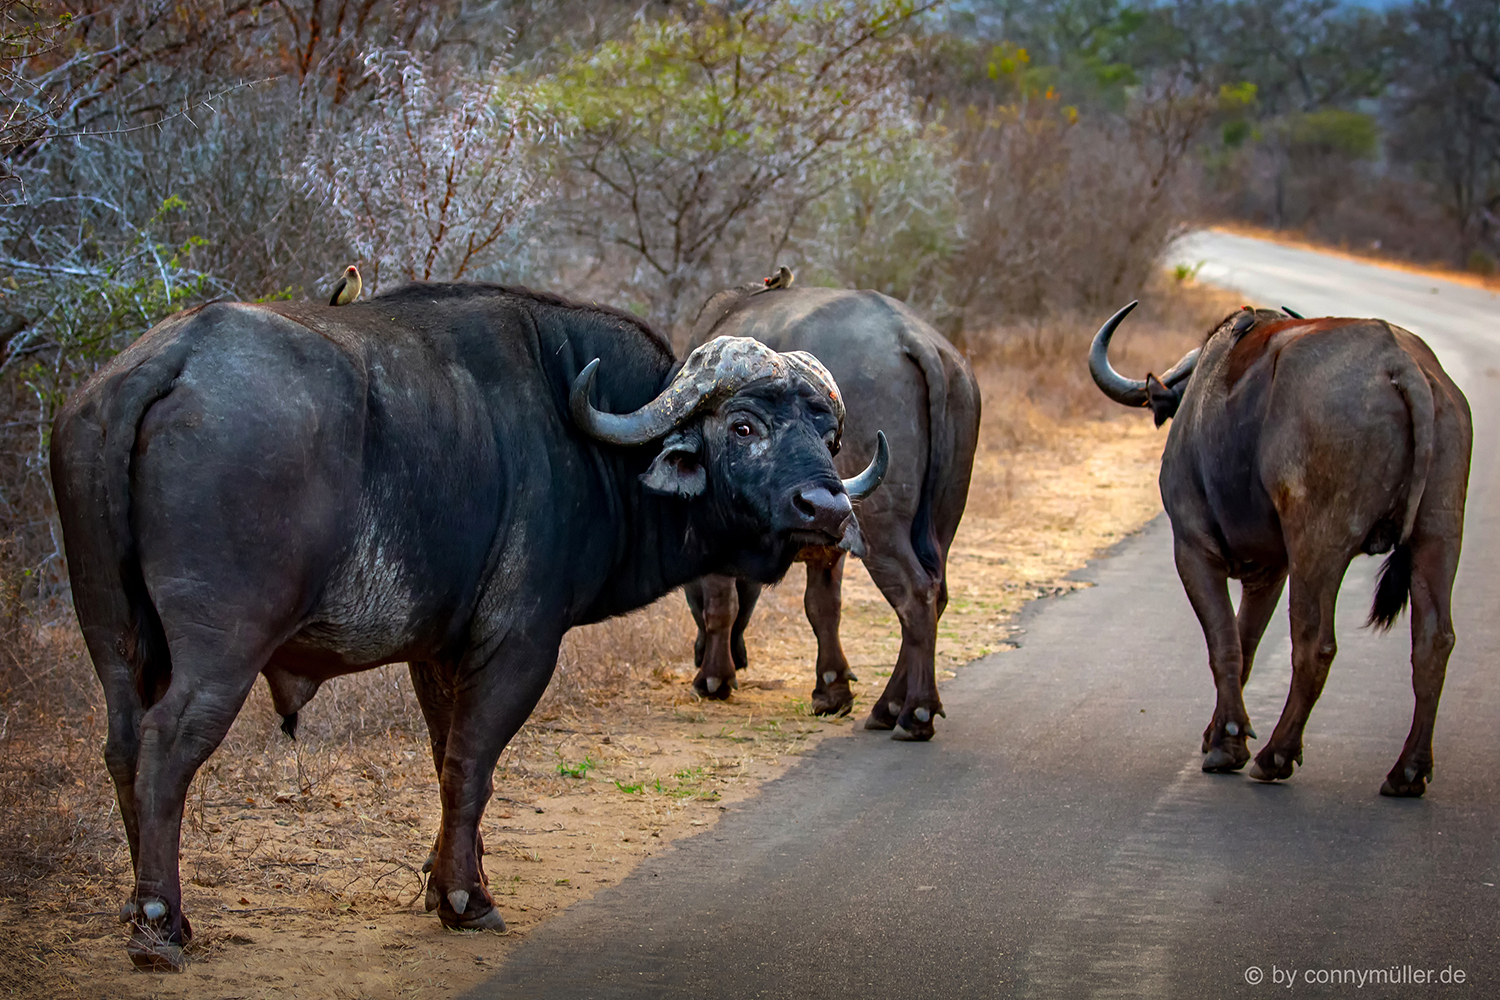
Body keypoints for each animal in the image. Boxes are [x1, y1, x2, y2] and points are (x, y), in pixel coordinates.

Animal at [52, 283, 882, 971]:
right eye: (743, 424)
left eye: (827, 434)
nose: (828, 509)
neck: (575, 433)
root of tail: (163, 363)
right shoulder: (519, 645)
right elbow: (472, 764)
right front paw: (464, 898)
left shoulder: (437, 652)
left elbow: (445, 756)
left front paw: (445, 879)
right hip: (219, 650)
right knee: (168, 746)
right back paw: (158, 923)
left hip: (116, 640)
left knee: (123, 747)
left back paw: (150, 907)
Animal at [684, 284, 984, 740]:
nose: (703, 654)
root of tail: (915, 338)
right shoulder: (827, 534)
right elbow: (822, 606)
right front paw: (832, 689)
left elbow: (722, 602)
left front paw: (714, 679)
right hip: (943, 519)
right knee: (938, 593)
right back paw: (889, 705)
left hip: (882, 523)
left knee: (916, 594)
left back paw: (914, 713)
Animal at [1086, 302, 1470, 797]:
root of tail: (1399, 363)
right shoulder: (1270, 569)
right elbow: (1245, 643)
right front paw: (1218, 731)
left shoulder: (1192, 550)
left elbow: (1224, 643)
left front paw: (1227, 743)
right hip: (1439, 535)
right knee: (1433, 643)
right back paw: (1408, 772)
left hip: (1318, 545)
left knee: (1315, 644)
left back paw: (1275, 756)